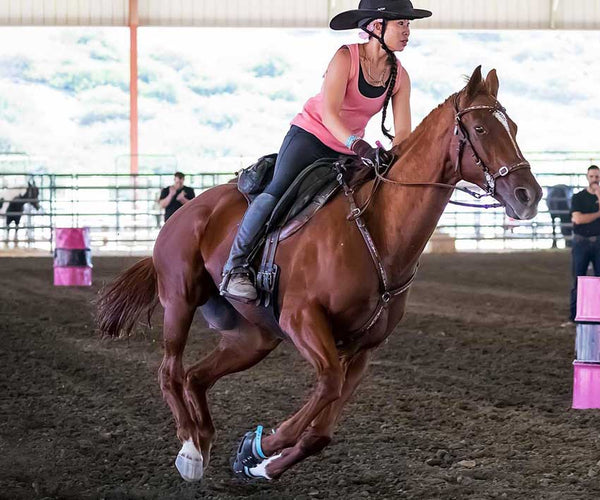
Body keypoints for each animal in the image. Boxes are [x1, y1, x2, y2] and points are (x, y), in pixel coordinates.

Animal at [97, 68, 544, 482]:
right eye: (481, 128)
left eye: (514, 128)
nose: (529, 195)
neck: (376, 229)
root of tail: (186, 211)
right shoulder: (303, 320)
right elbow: (326, 384)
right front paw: (260, 445)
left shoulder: (362, 350)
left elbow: (320, 433)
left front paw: (258, 463)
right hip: (180, 298)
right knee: (170, 372)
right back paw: (190, 451)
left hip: (253, 338)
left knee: (195, 377)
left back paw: (204, 439)